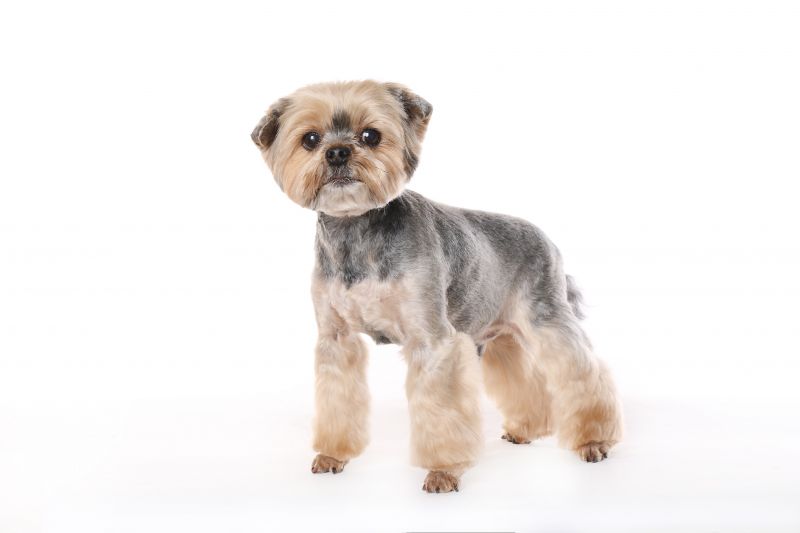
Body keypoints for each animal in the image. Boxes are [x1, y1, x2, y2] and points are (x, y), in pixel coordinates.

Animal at [251, 80, 623, 493]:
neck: (356, 230)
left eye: (370, 136)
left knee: (583, 370)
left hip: (547, 316)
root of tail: (549, 241)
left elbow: (440, 410)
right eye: (310, 139)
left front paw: (443, 471)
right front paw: (333, 455)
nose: (337, 153)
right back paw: (526, 429)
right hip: (499, 332)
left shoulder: (431, 339)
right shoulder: (336, 339)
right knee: (524, 377)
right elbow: (338, 398)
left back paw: (594, 441)